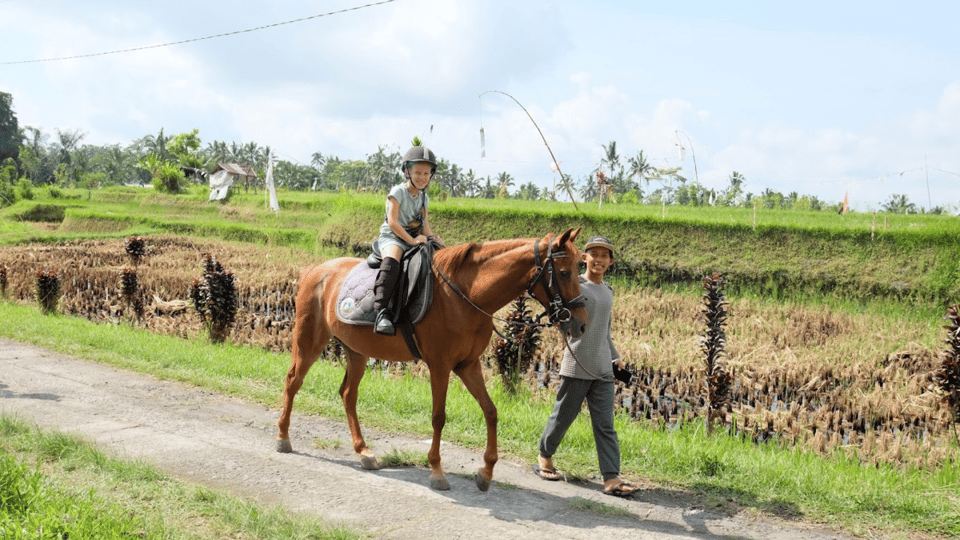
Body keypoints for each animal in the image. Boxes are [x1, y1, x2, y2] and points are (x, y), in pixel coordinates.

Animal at [276, 227, 588, 491]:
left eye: (578, 269)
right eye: (563, 272)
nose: (582, 323)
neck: (465, 295)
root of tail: (316, 270)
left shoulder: (468, 365)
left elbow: (490, 411)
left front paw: (486, 472)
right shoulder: (440, 366)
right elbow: (439, 417)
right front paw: (437, 471)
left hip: (356, 351)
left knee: (347, 395)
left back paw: (363, 451)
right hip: (309, 341)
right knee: (293, 381)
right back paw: (283, 437)